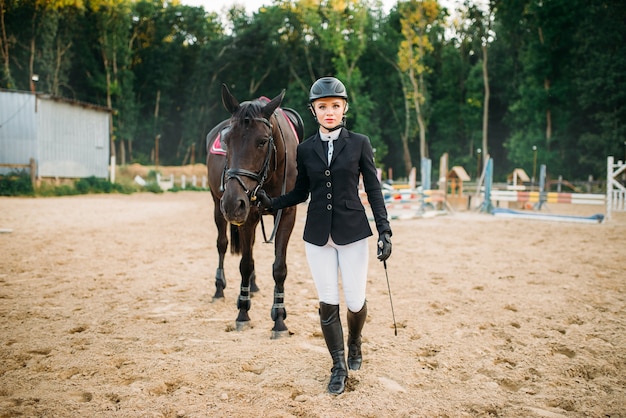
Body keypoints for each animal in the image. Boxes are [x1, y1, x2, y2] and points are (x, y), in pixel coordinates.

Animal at [205, 85, 302, 340]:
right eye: (227, 140)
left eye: (262, 141)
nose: (232, 203)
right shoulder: (247, 215)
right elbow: (245, 264)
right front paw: (242, 313)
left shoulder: (287, 214)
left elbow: (279, 268)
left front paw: (279, 320)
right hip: (217, 205)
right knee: (222, 244)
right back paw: (219, 289)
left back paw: (255, 285)